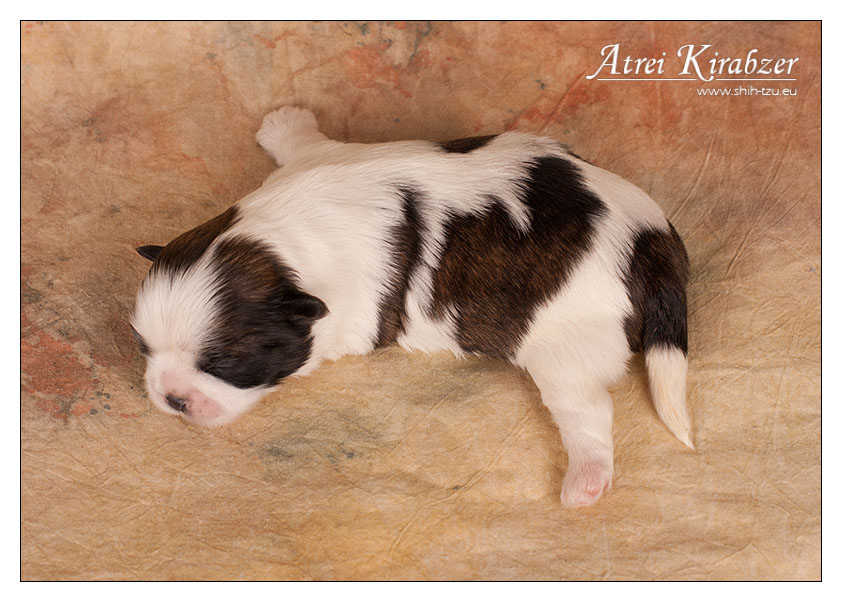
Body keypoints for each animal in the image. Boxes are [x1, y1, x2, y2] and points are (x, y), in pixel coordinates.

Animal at [131, 106, 691, 507]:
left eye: (225, 363)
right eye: (142, 347)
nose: (170, 397)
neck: (281, 243)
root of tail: (647, 236)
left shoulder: (354, 316)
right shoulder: (320, 159)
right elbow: (307, 143)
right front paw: (284, 124)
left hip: (565, 347)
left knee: (590, 410)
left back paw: (585, 481)